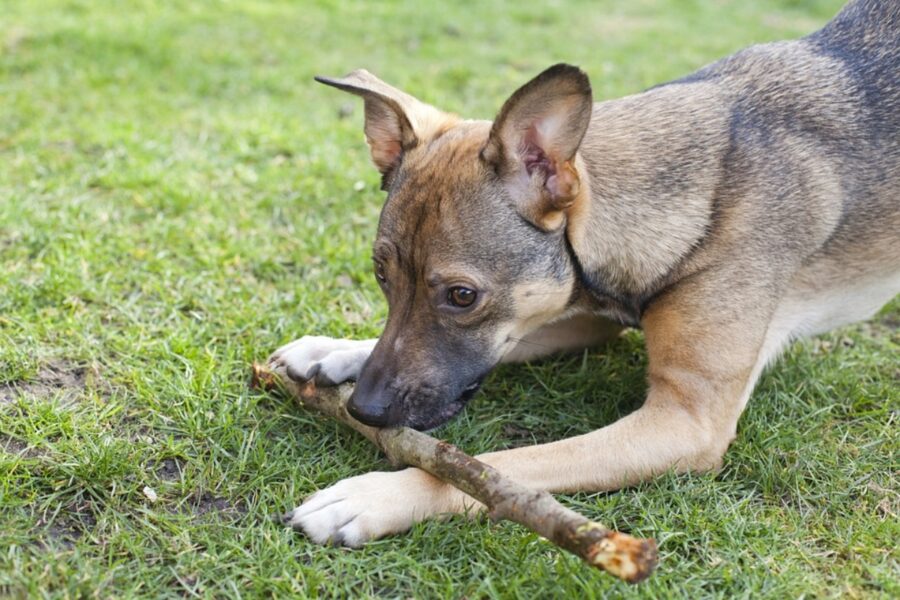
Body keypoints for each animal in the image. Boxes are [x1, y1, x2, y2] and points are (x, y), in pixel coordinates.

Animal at [270, 0, 896, 548]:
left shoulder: (685, 421)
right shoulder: (578, 317)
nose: (364, 411)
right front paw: (333, 349)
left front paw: (374, 497)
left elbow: (502, 469)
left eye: (462, 296)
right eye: (381, 274)